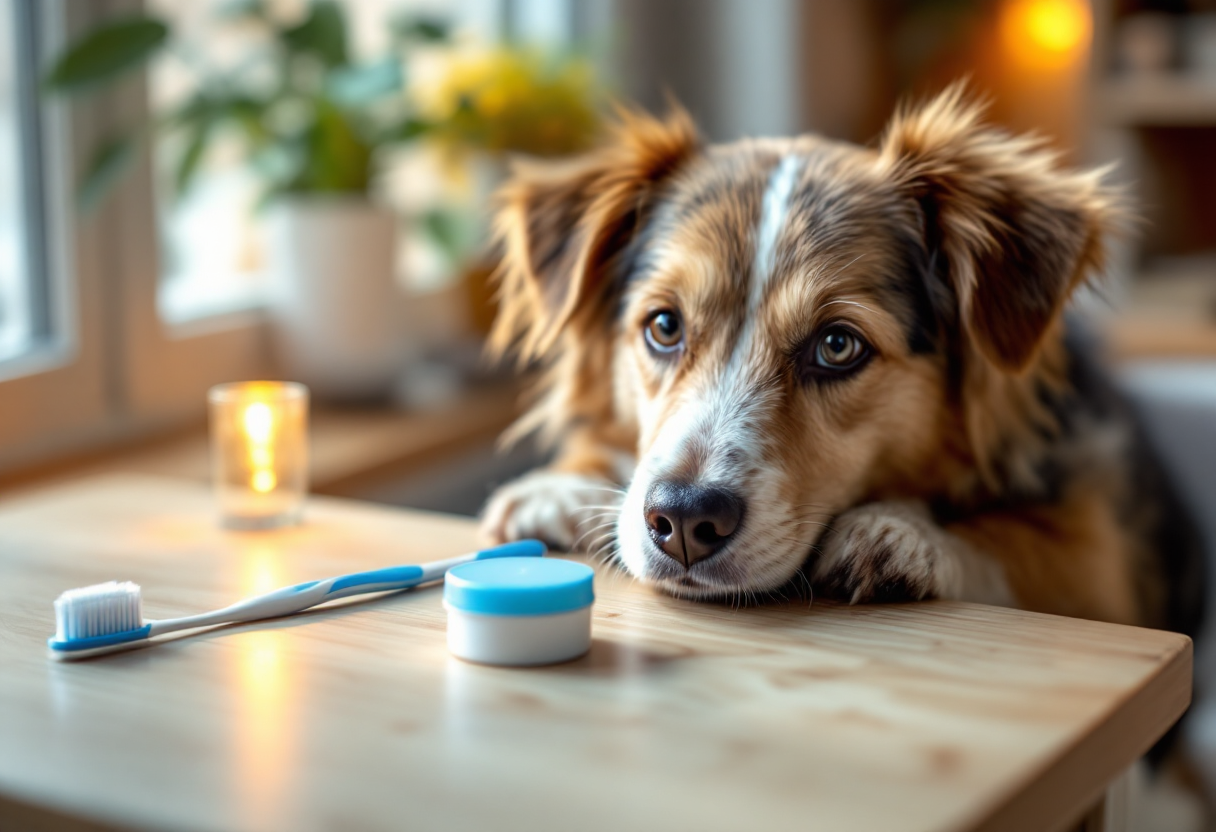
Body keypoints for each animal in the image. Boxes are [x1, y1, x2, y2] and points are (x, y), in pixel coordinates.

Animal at [476, 84, 1206, 642]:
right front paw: (564, 486)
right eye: (663, 327)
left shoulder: (1102, 568)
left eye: (837, 345)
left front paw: (905, 533)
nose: (681, 520)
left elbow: (1014, 544)